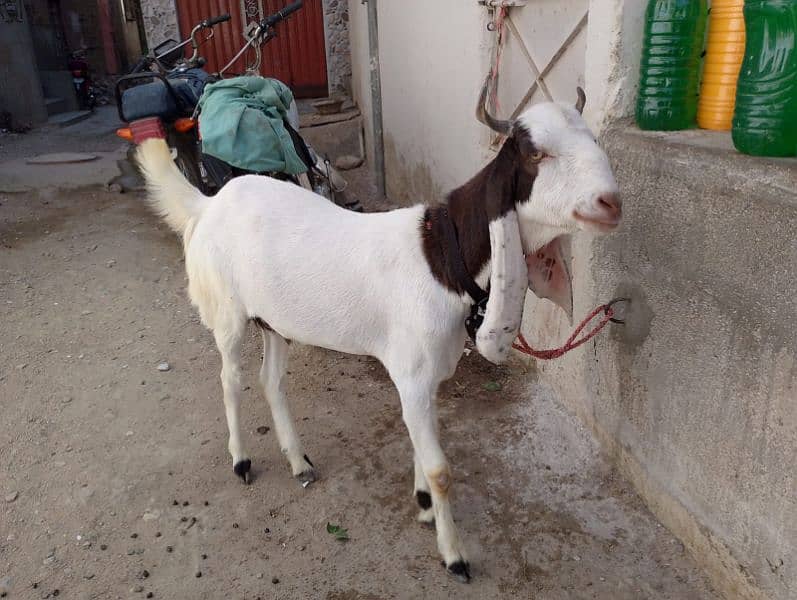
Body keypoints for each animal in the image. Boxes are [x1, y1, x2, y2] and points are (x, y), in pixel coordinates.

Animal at [136, 82, 621, 582]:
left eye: (594, 140)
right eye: (535, 152)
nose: (611, 203)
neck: (440, 255)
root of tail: (210, 203)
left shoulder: (427, 377)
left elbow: (421, 444)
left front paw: (424, 504)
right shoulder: (413, 373)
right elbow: (441, 470)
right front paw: (454, 553)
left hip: (274, 321)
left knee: (270, 381)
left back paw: (298, 461)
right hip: (228, 313)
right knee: (230, 380)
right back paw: (241, 459)